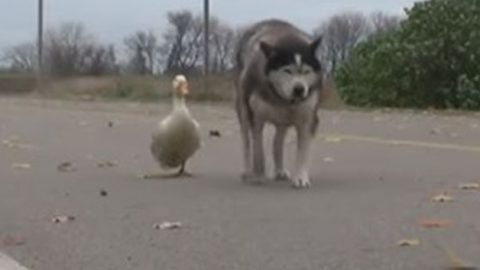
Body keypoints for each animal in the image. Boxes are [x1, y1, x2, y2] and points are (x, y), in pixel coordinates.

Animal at [235, 19, 324, 189]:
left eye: (306, 71)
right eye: (287, 70)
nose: (299, 89)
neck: (283, 100)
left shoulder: (308, 118)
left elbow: (303, 151)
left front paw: (301, 178)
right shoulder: (256, 118)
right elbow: (258, 150)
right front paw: (258, 175)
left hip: (283, 120)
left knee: (278, 142)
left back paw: (280, 170)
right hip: (243, 109)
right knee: (246, 142)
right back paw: (247, 171)